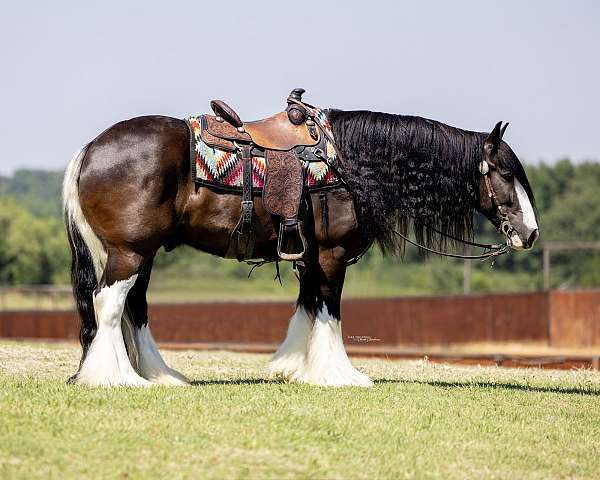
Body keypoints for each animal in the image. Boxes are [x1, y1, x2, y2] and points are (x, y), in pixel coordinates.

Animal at [63, 104, 540, 386]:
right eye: (503, 173)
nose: (531, 232)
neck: (348, 163)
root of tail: (91, 149)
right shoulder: (331, 255)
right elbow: (329, 309)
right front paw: (340, 375)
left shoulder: (308, 256)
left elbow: (307, 306)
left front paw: (293, 366)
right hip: (130, 252)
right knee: (108, 303)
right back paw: (114, 378)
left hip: (140, 254)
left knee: (134, 308)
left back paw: (160, 376)